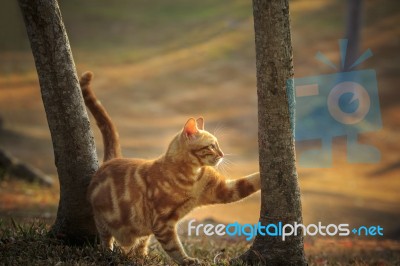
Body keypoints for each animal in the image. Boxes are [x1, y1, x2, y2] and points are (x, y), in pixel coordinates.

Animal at [79, 70, 260, 264]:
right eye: (212, 146)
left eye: (217, 145)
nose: (222, 154)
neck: (192, 176)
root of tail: (110, 161)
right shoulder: (162, 223)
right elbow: (174, 248)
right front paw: (188, 261)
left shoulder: (223, 190)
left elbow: (249, 182)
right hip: (103, 222)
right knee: (106, 240)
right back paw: (110, 254)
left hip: (142, 230)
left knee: (140, 245)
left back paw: (143, 258)